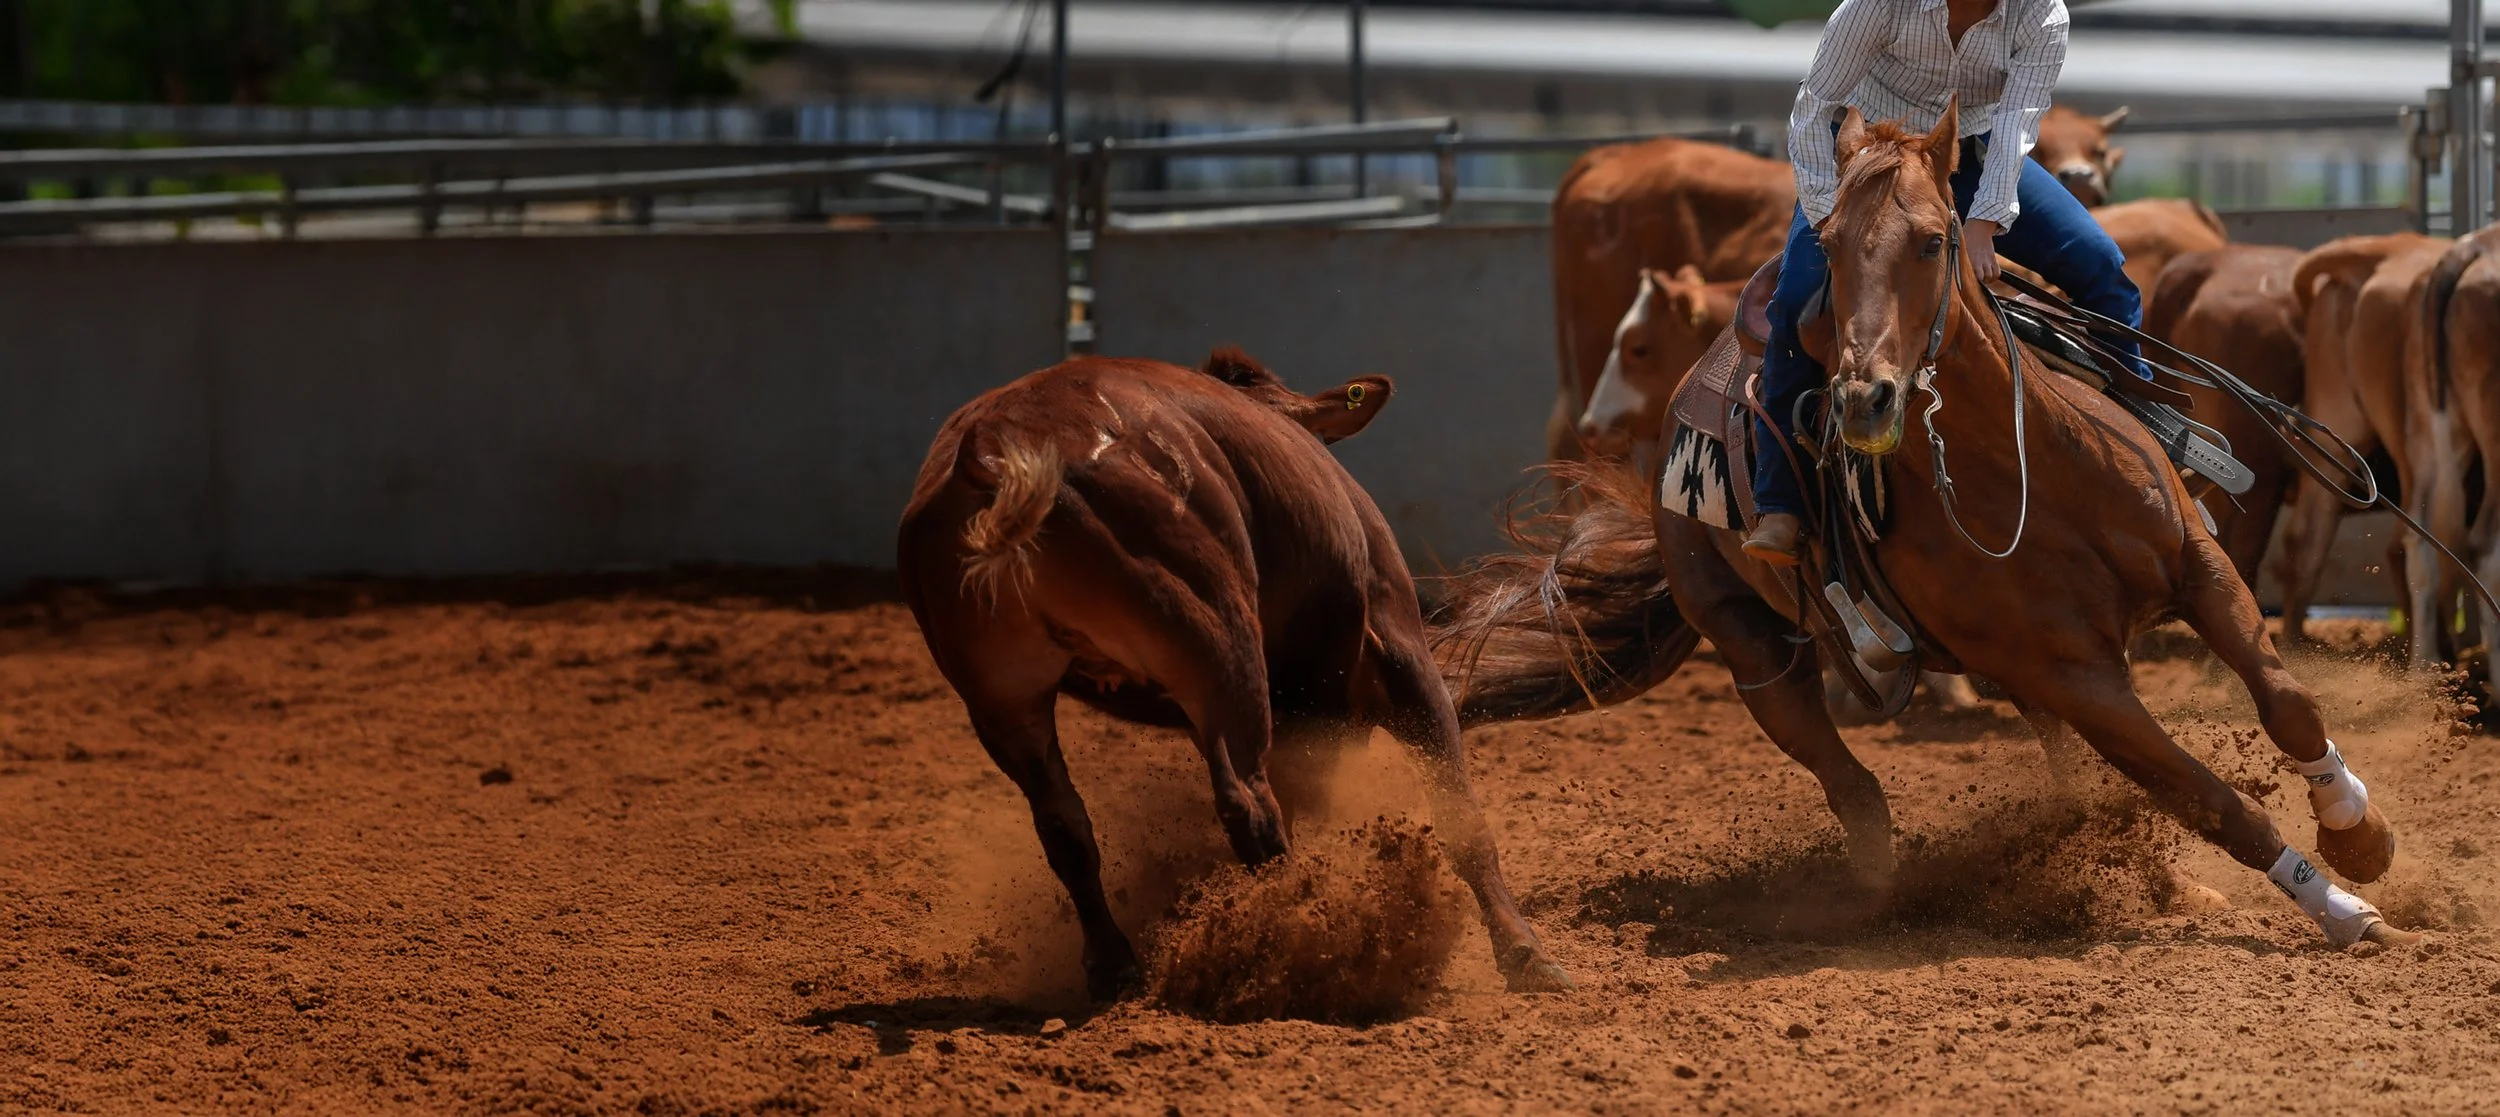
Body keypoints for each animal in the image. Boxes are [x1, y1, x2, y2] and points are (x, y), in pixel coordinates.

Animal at [898, 348, 1572, 1000]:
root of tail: (997, 443)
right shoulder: (1405, 656)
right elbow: (1463, 822)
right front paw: (1527, 954)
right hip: (1220, 647)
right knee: (1248, 806)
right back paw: (1299, 929)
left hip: (1006, 703)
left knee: (1066, 828)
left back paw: (1116, 964)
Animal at [1439, 105, 2406, 950]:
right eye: (1827, 247)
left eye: (1935, 239)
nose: (1866, 397)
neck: (2032, 473)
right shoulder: (2080, 676)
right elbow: (2209, 797)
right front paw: (2342, 909)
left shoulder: (2197, 569)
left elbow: (2286, 701)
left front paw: (2356, 830)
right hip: (1756, 649)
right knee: (1853, 781)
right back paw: (1876, 891)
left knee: (2075, 773)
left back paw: (2177, 885)